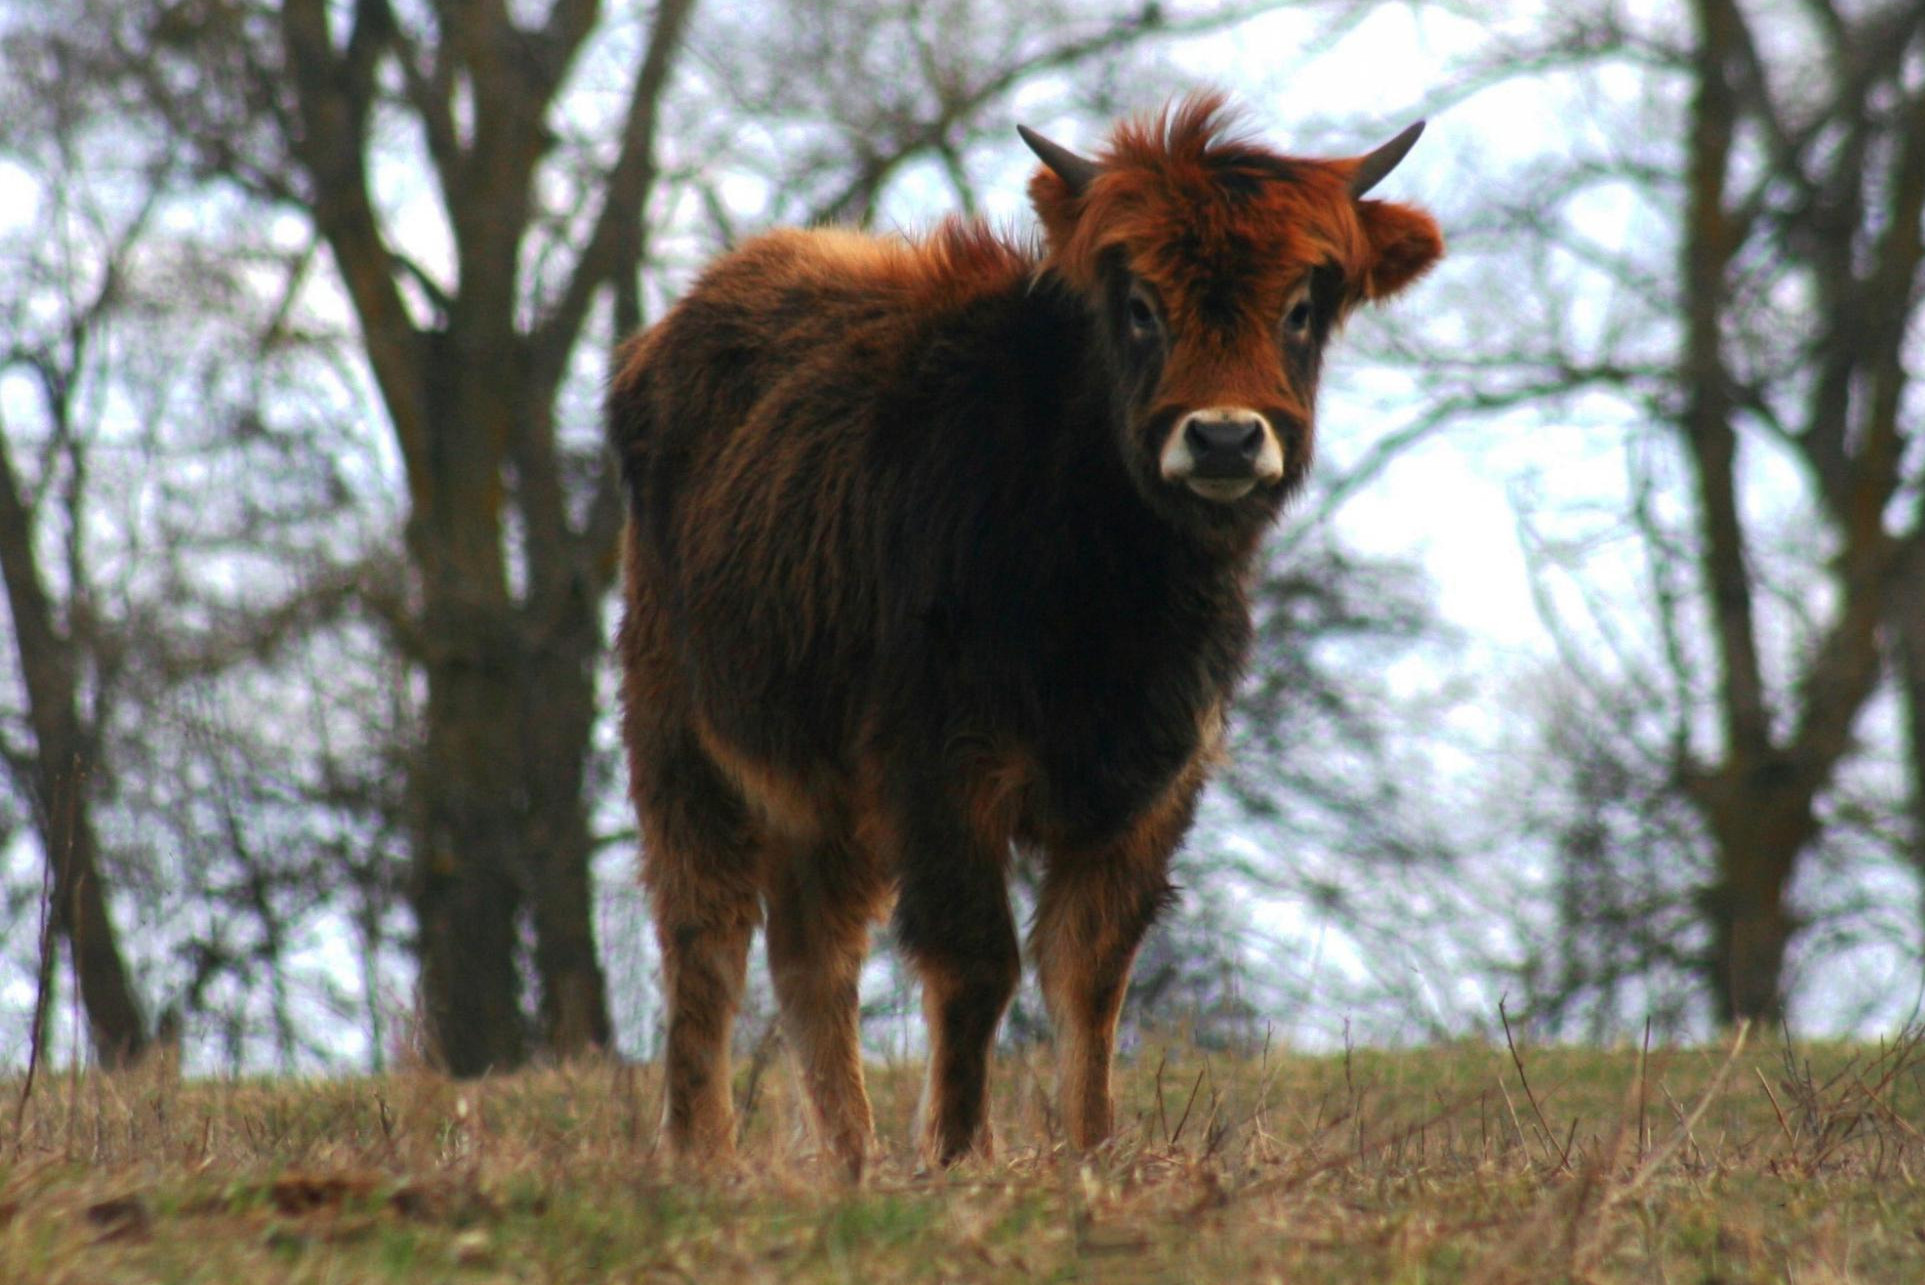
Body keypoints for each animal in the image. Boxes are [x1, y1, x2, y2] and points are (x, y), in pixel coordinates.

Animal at [608, 90, 1439, 1177]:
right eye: (1139, 305)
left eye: (1301, 306)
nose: (1222, 437)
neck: (1111, 596)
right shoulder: (940, 762)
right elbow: (978, 962)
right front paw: (963, 1154)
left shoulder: (1157, 780)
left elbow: (1090, 975)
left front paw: (1091, 1151)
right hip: (680, 726)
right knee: (704, 932)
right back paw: (702, 1150)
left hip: (827, 790)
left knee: (810, 952)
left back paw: (852, 1156)